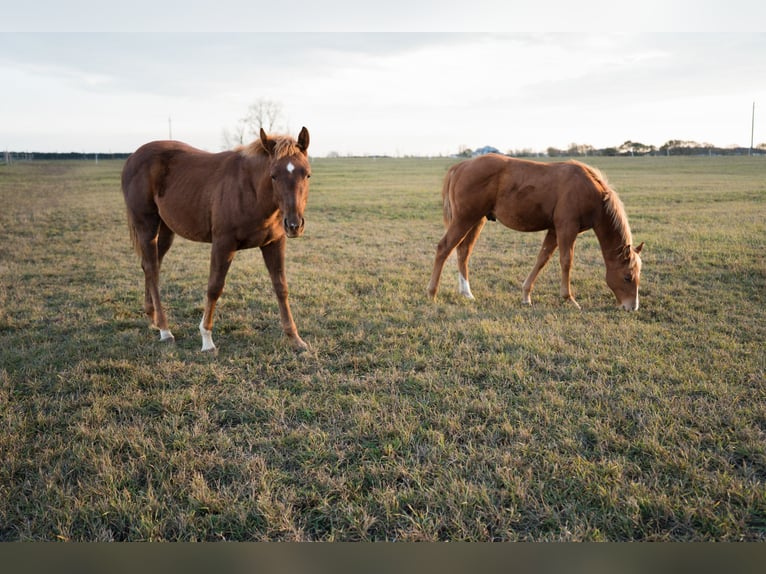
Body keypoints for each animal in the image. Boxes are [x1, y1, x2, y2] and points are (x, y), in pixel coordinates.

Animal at [121, 127, 311, 352]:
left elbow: (281, 287)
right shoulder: (223, 244)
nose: (294, 225)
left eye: (307, 174)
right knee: (151, 268)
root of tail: (132, 157)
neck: (250, 190)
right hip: (146, 226)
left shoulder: (274, 243)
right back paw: (165, 330)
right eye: (273, 176)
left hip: (166, 230)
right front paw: (207, 340)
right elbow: (214, 287)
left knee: (151, 266)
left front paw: (295, 338)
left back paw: (154, 318)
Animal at [427, 154, 644, 311]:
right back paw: (432, 292)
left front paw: (526, 295)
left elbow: (542, 259)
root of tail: (461, 166)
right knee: (444, 248)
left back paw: (466, 293)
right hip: (465, 219)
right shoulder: (566, 228)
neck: (590, 191)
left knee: (463, 251)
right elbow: (566, 261)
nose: (632, 307)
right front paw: (569, 299)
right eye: (627, 277)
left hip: (476, 220)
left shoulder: (554, 230)